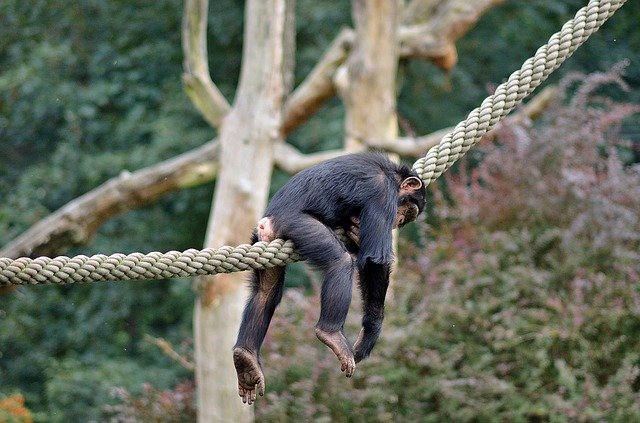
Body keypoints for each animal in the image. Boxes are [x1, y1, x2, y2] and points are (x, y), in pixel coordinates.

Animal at [231, 152, 424, 404]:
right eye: (407, 211)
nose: (399, 220)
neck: (393, 176)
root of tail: (268, 221)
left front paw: (355, 230)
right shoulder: (382, 194)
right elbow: (374, 260)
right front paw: (369, 334)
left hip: (265, 241)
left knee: (266, 292)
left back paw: (246, 360)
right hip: (298, 226)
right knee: (339, 262)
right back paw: (331, 334)